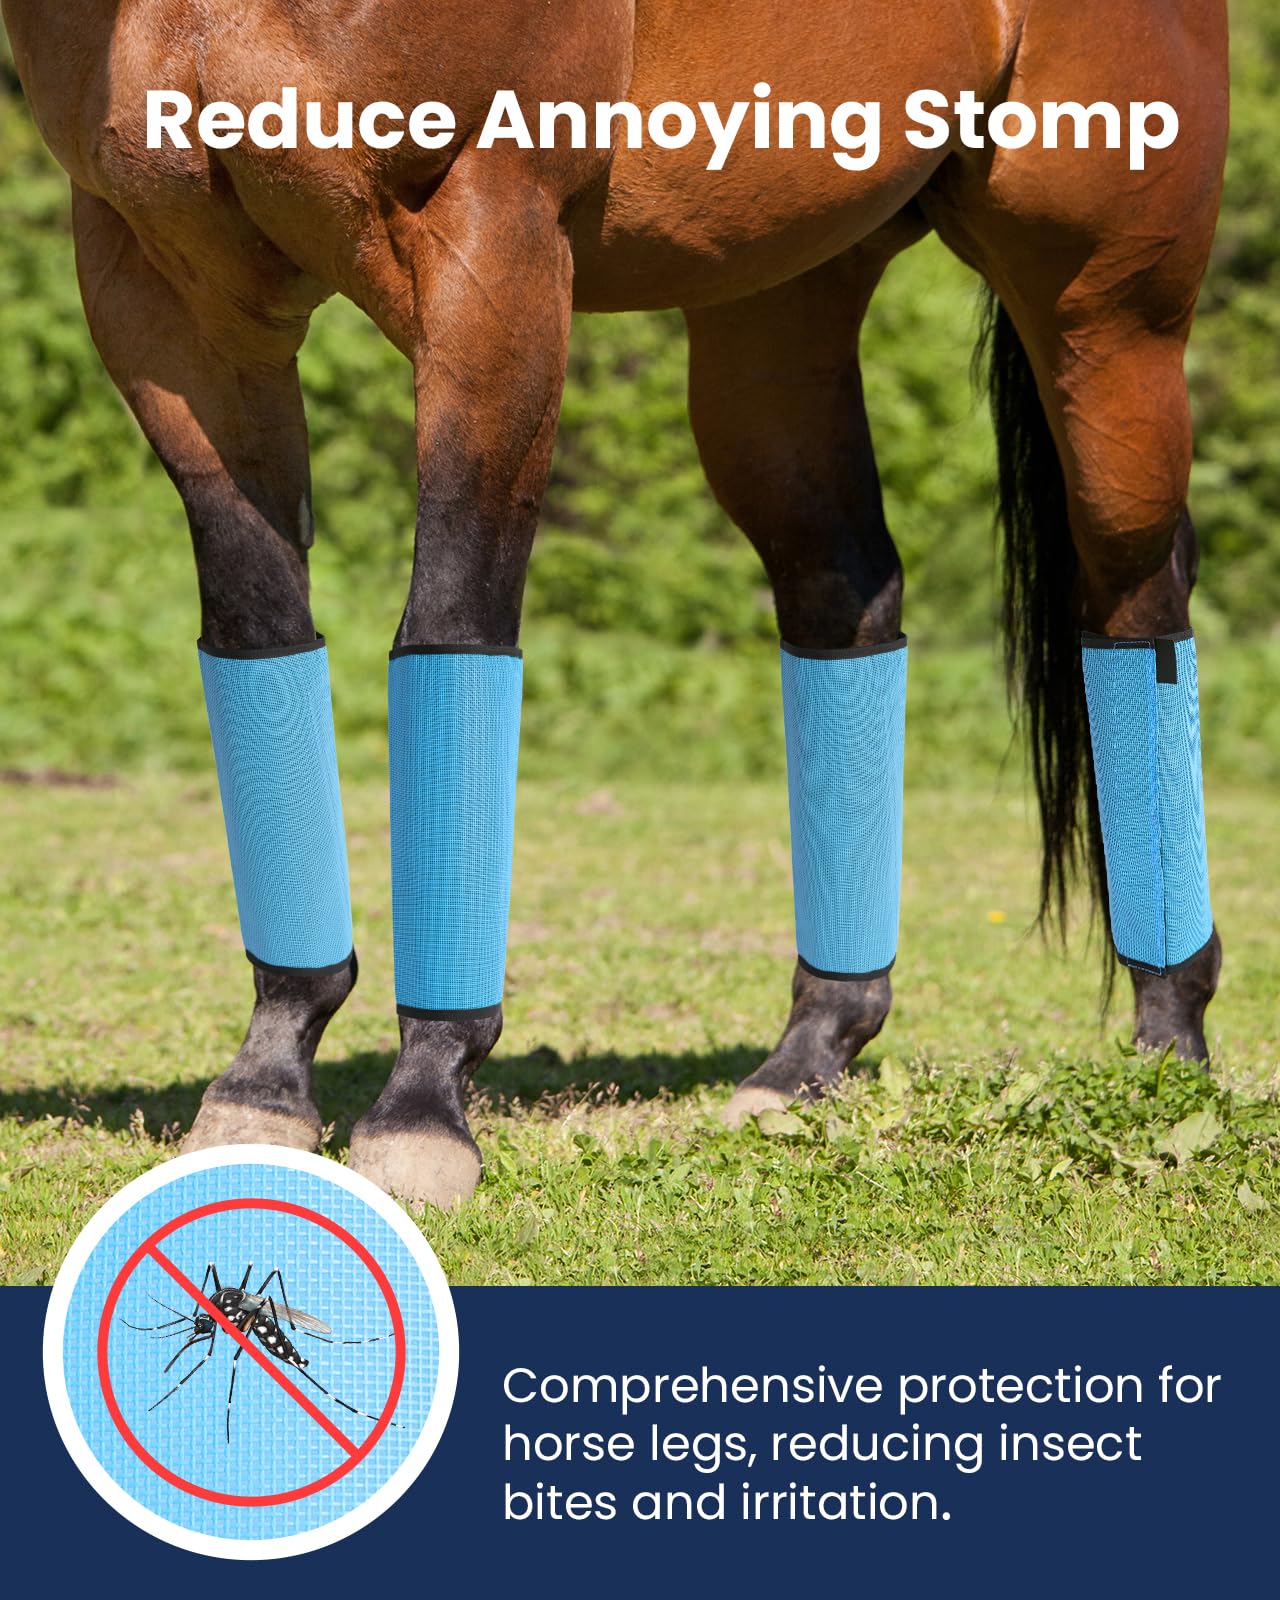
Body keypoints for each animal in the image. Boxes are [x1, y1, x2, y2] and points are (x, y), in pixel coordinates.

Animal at [3, 2, 1229, 1209]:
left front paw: (422, 1105)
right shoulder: (168, 289)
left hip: (1103, 313)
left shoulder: (491, 247)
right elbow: (260, 636)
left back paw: (1167, 1054)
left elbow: (452, 625)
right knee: (845, 593)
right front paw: (266, 1076)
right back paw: (808, 1058)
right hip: (776, 301)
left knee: (1136, 602)